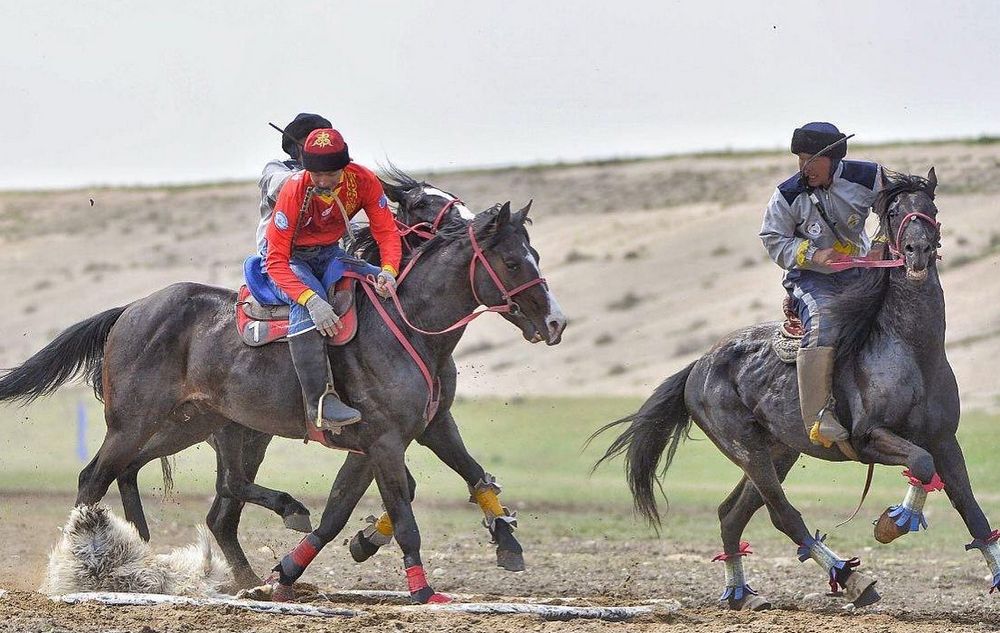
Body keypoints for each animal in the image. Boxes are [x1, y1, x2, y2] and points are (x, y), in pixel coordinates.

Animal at [0, 189, 568, 604]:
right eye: (513, 262)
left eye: (533, 255)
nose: (555, 322)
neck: (408, 325)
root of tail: (132, 309)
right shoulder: (385, 441)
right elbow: (403, 516)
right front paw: (424, 592)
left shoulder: (425, 428)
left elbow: (460, 478)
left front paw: (506, 540)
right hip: (137, 422)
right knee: (95, 478)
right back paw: (81, 567)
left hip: (199, 425)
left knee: (206, 498)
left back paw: (241, 571)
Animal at [596, 168, 996, 608]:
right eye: (893, 213)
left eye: (931, 208)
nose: (918, 251)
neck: (909, 348)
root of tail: (699, 366)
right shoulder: (870, 438)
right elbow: (921, 464)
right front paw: (893, 524)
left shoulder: (945, 440)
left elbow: (971, 510)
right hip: (748, 450)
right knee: (782, 514)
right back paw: (852, 579)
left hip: (779, 452)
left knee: (731, 513)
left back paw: (742, 596)